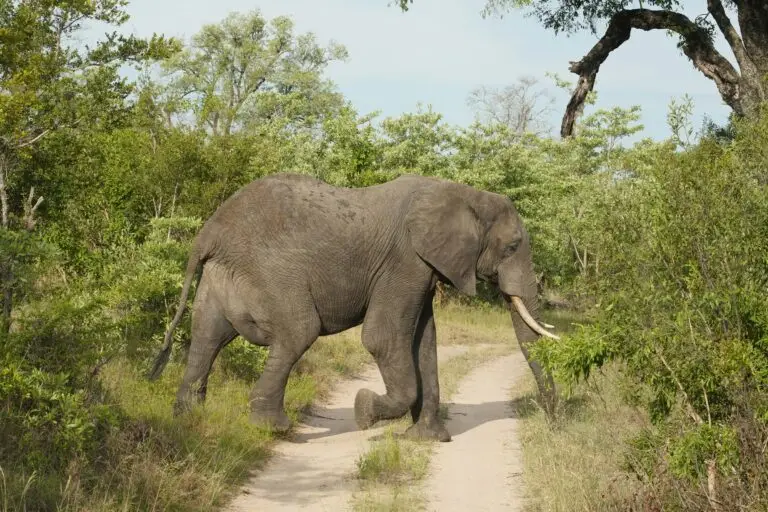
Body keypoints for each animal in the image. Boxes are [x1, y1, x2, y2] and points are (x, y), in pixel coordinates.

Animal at [148, 172, 559, 442]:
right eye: (511, 247)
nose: (553, 418)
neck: (463, 193)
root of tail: (208, 234)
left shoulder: (423, 270)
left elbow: (424, 343)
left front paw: (428, 439)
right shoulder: (405, 262)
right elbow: (383, 338)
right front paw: (364, 412)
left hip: (221, 275)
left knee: (206, 337)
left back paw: (188, 418)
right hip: (270, 273)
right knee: (298, 331)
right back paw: (273, 428)